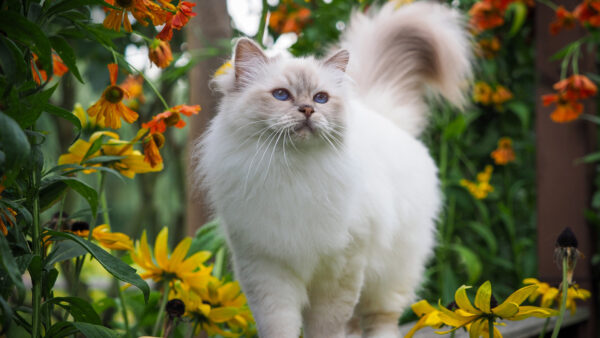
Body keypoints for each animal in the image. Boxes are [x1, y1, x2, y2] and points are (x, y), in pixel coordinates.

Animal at [195, 1, 472, 336]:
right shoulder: (266, 268)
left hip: (389, 273)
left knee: (381, 318)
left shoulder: (340, 268)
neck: (294, 171)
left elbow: (325, 326)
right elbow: (280, 325)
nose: (307, 110)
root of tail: (381, 113)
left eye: (321, 98)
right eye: (281, 95)